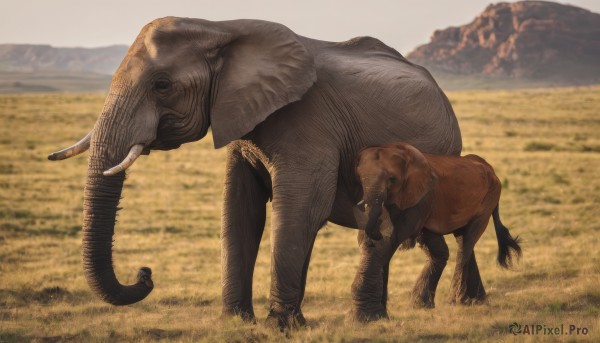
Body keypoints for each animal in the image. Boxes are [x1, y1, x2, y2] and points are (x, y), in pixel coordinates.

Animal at [49, 17, 464, 330]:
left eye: (162, 85)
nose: (145, 272)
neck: (220, 29)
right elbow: (241, 208)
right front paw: (236, 321)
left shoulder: (309, 120)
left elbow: (301, 209)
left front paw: (279, 326)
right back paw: (376, 318)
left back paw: (366, 319)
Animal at [356, 142, 520, 310]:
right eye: (359, 177)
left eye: (392, 179)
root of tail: (492, 169)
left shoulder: (423, 197)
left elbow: (405, 230)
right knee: (463, 239)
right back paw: (472, 300)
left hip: (488, 201)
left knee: (467, 243)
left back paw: (455, 300)